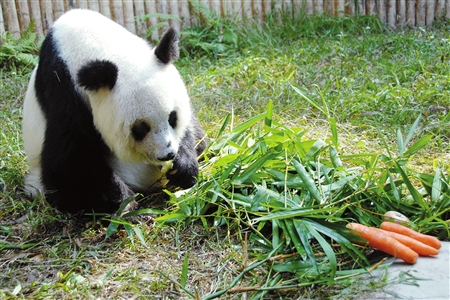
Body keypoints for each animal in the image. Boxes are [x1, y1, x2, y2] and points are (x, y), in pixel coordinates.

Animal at [22, 8, 207, 212]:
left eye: (173, 118)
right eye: (140, 129)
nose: (168, 154)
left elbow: (195, 133)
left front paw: (182, 168)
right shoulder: (63, 90)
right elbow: (70, 165)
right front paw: (126, 202)